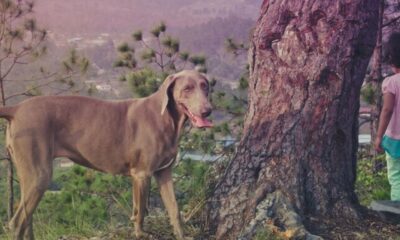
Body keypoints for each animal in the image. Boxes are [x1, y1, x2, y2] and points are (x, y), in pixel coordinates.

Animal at [0, 70, 212, 240]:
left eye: (205, 86)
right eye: (187, 88)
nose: (208, 111)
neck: (166, 118)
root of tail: (16, 109)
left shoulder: (164, 172)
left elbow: (174, 210)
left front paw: (181, 235)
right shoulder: (142, 174)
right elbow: (140, 211)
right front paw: (140, 234)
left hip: (29, 174)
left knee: (26, 219)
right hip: (39, 174)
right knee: (17, 222)